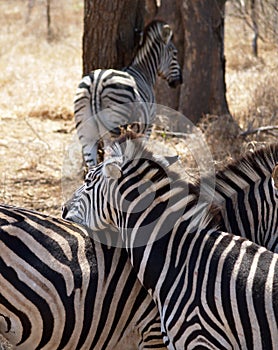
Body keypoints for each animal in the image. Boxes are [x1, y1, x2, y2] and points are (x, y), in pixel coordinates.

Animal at [73, 20, 182, 168]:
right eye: (175, 54)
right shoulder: (148, 126)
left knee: (92, 164)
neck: (144, 71)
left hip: (85, 131)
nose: (180, 81)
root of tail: (97, 81)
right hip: (114, 124)